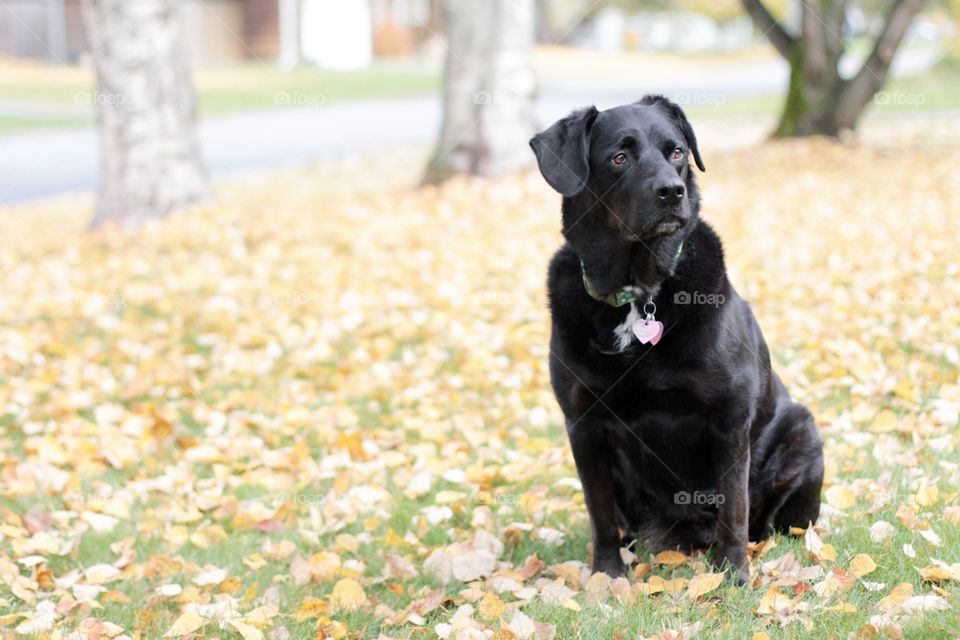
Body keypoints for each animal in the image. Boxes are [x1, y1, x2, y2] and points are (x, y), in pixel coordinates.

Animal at [528, 96, 820, 584]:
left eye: (677, 152)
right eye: (619, 157)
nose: (671, 190)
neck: (639, 291)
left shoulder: (729, 418)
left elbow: (734, 506)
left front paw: (733, 574)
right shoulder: (582, 424)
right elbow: (598, 511)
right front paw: (606, 575)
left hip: (802, 432)